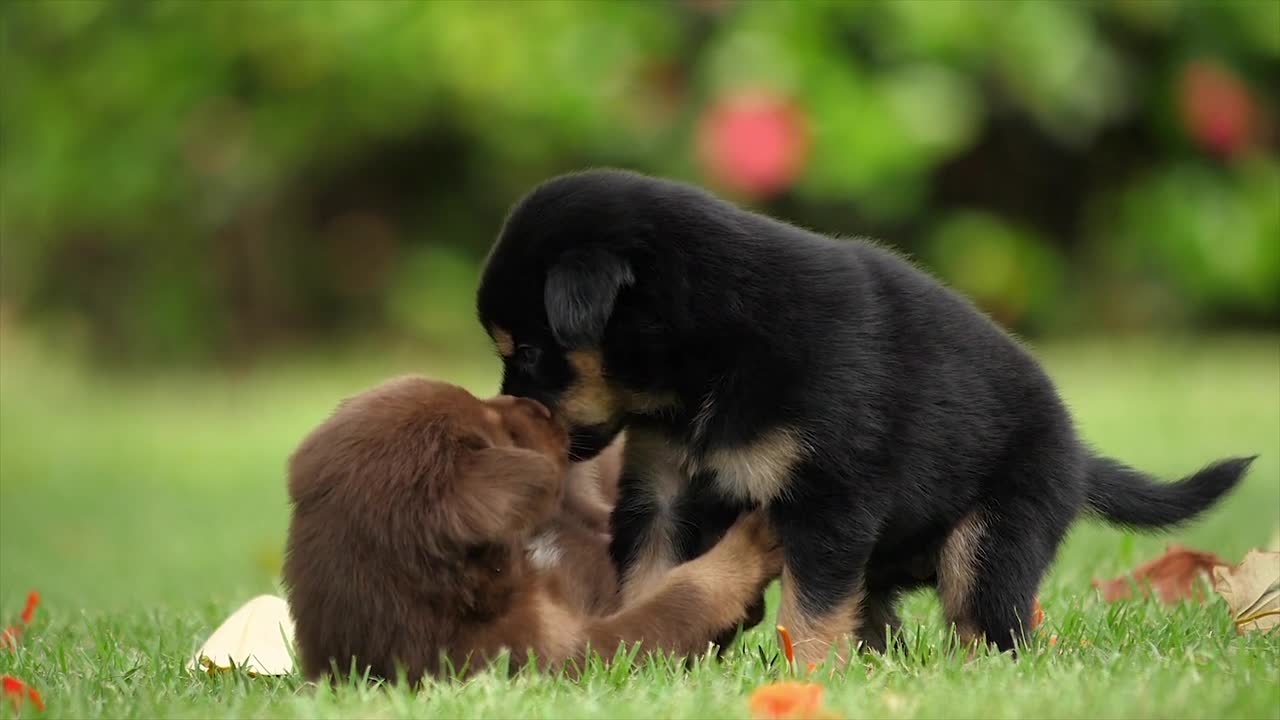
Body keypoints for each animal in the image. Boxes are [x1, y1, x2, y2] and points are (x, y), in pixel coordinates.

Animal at [476, 167, 1254, 661]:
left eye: (533, 354)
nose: (509, 415)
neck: (707, 359)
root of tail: (1077, 453)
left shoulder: (829, 500)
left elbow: (810, 611)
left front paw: (809, 678)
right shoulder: (662, 493)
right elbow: (652, 581)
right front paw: (652, 654)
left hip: (993, 539)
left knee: (990, 627)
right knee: (882, 619)